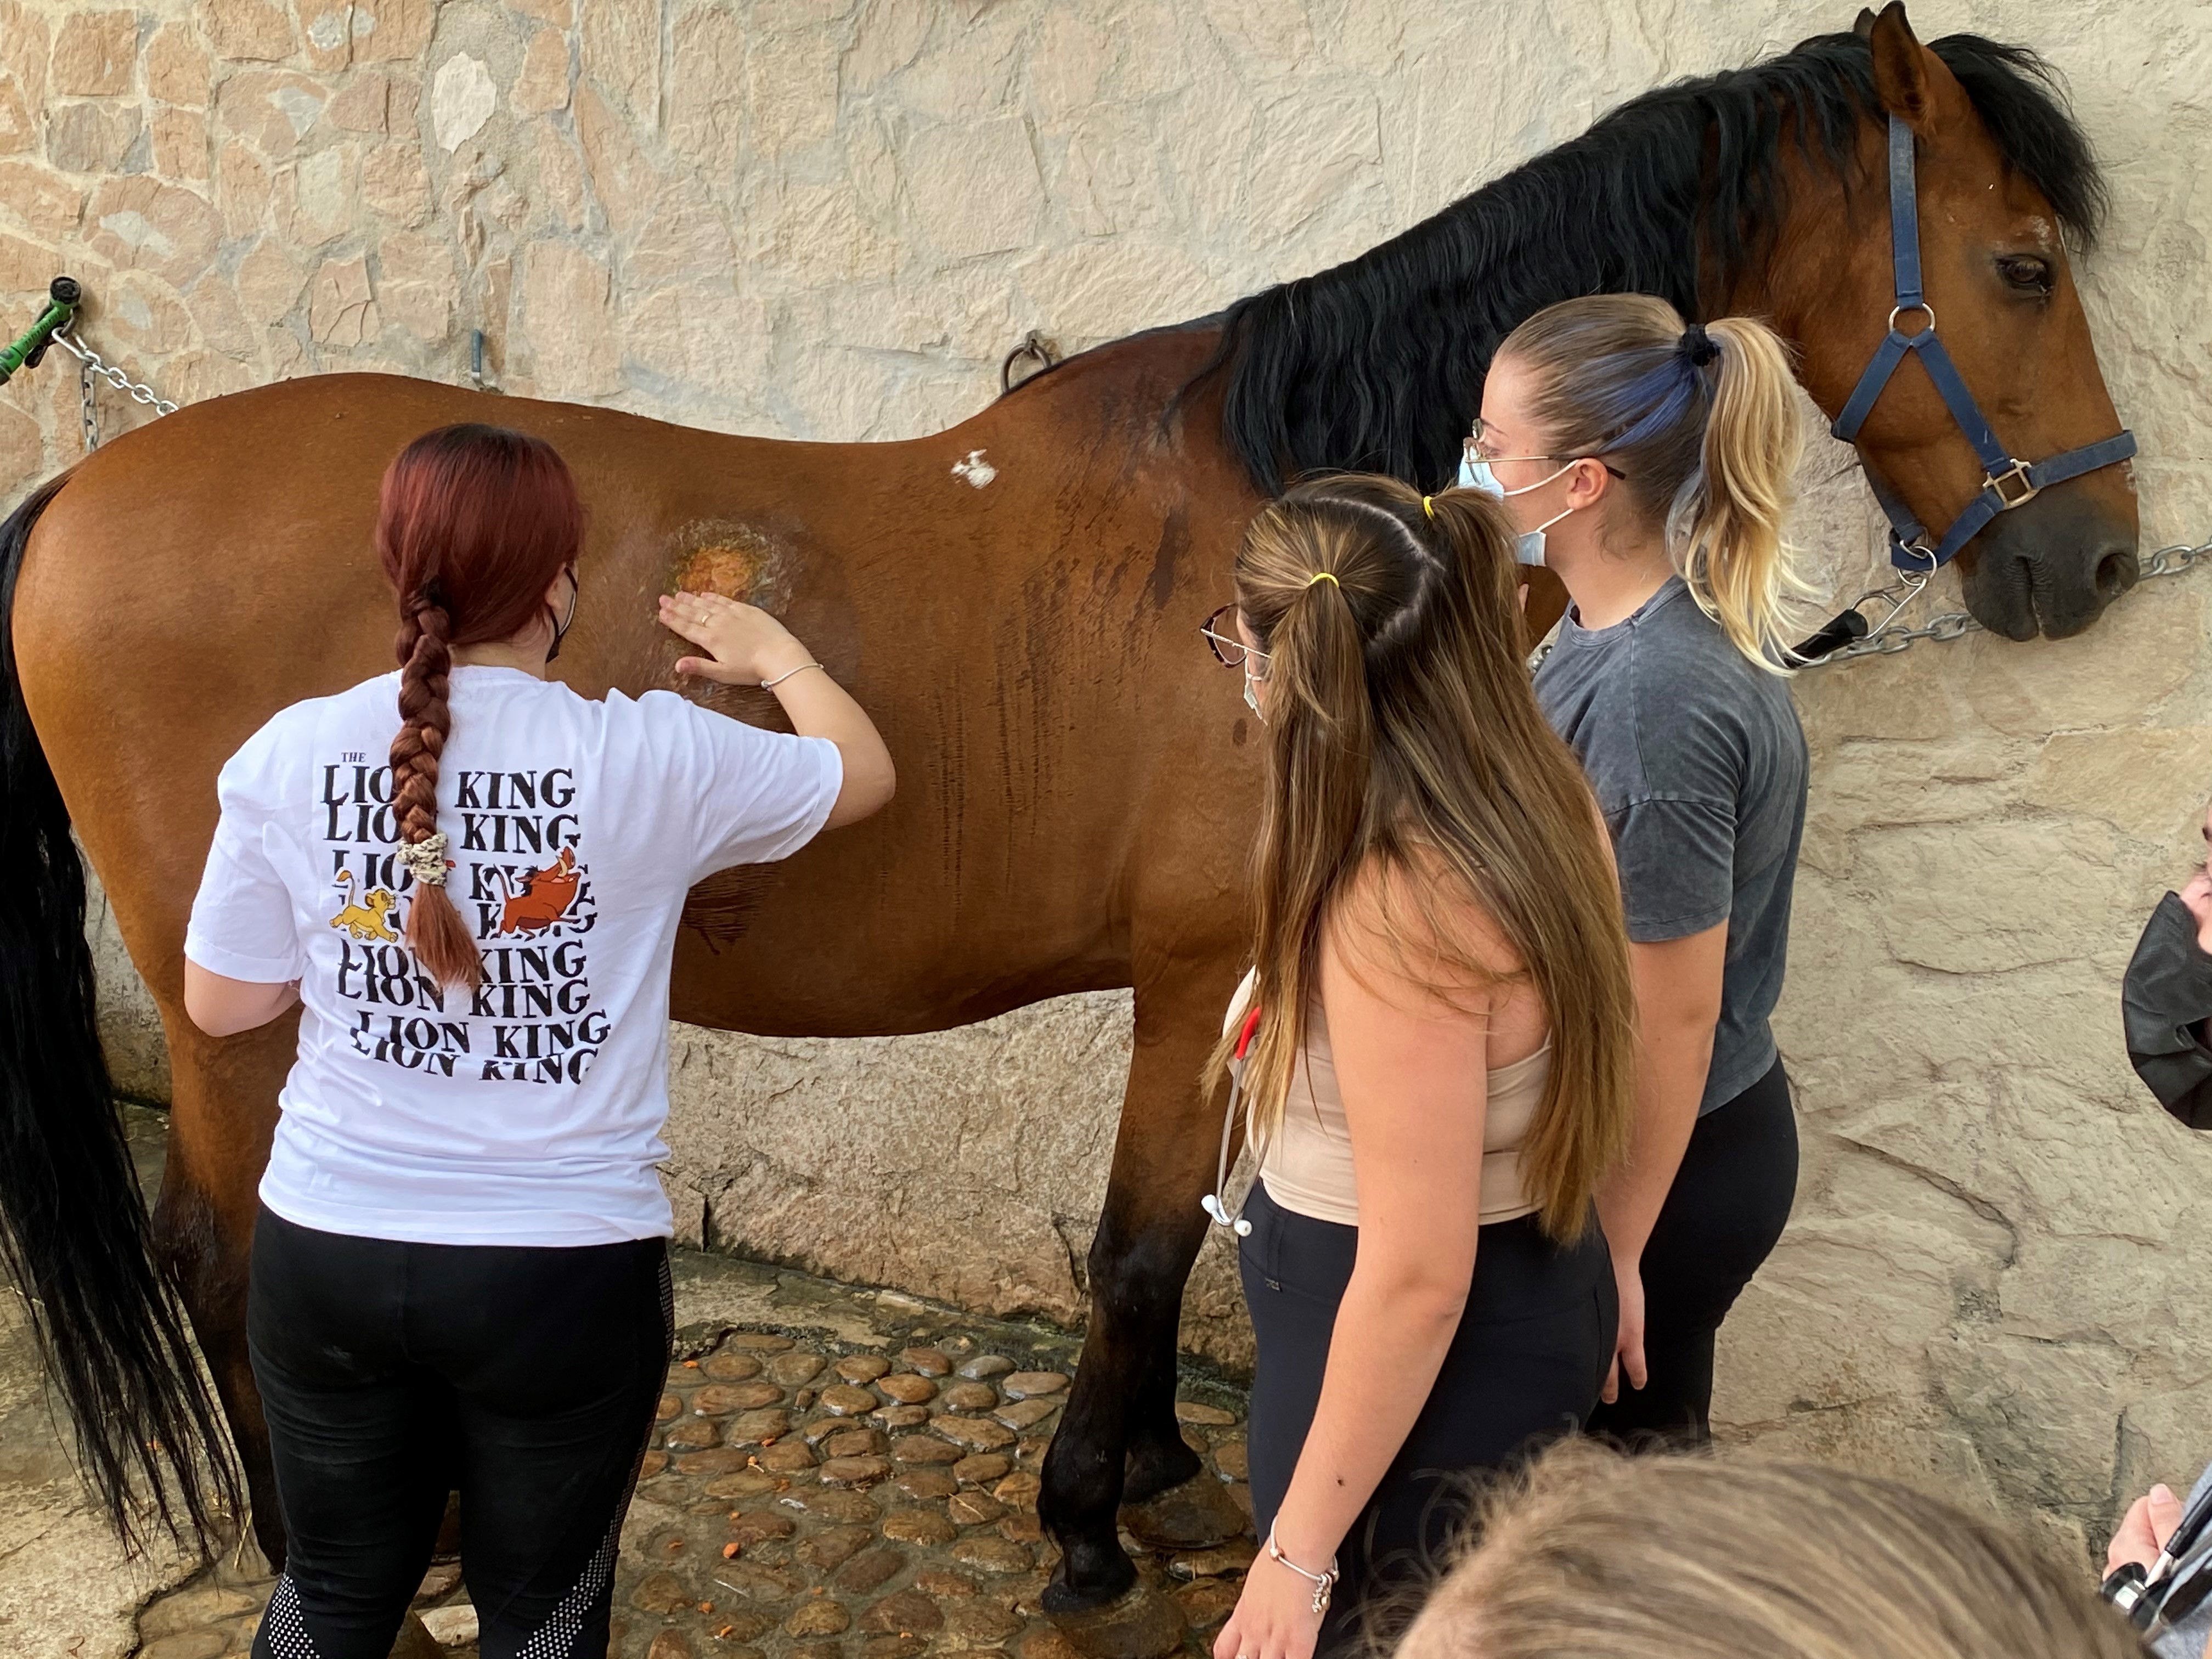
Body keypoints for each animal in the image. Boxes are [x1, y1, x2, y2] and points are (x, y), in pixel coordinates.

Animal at [0, 3, 2136, 1622]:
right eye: (2024, 263)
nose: (2098, 558)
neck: (1290, 539)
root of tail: (84, 497)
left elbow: (1188, 1228)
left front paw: (1153, 1469)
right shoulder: (1200, 973)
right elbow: (1140, 1248)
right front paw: (1090, 1521)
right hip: (237, 999)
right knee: (218, 1251)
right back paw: (349, 1544)